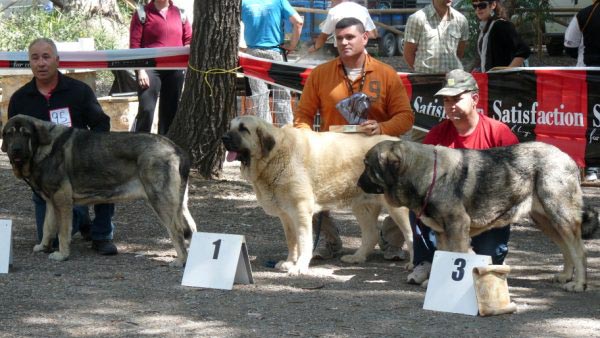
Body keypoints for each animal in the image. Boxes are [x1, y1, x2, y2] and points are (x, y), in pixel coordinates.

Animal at [2, 115, 197, 266]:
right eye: (9, 134)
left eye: (26, 134)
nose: (16, 150)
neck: (42, 148)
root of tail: (174, 148)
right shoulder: (51, 202)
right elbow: (47, 227)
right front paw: (43, 247)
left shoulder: (62, 201)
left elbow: (62, 232)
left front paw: (62, 254)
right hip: (180, 204)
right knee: (192, 228)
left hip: (160, 201)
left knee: (177, 230)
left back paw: (181, 261)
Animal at [358, 139, 596, 292]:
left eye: (368, 166)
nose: (358, 183)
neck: (424, 173)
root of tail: (568, 158)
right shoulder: (443, 232)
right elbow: (442, 258)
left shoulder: (457, 227)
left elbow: (457, 256)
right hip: (546, 221)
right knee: (566, 249)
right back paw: (565, 276)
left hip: (560, 215)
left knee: (579, 251)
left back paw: (578, 284)